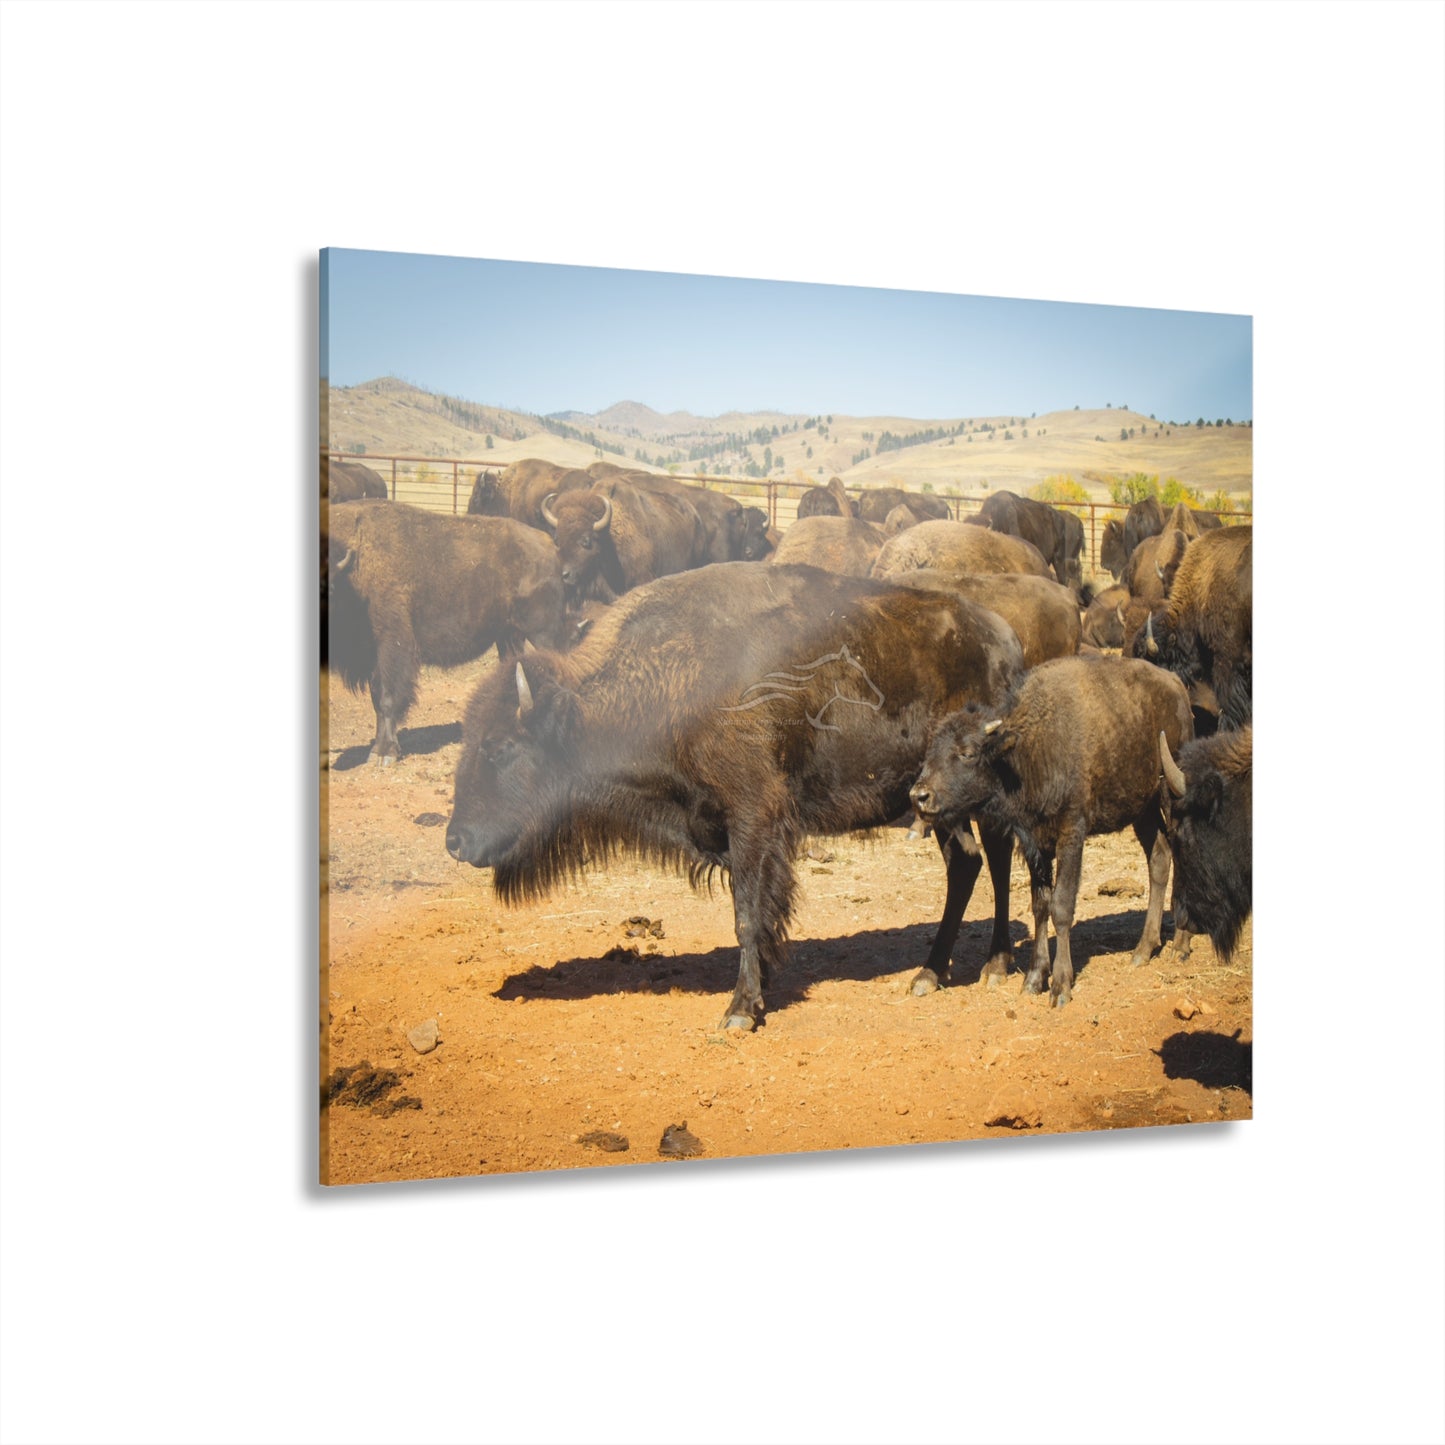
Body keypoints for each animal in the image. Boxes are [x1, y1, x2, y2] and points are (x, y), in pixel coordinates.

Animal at [325, 501, 566, 765]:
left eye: (327, 588)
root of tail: (549, 545)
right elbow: (376, 700)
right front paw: (379, 751)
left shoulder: (392, 647)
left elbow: (387, 699)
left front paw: (385, 754)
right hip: (509, 637)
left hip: (542, 634)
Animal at [446, 563, 1027, 1030]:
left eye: (500, 747)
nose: (456, 841)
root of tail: (1006, 639)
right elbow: (758, 915)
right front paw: (760, 989)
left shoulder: (754, 819)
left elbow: (747, 914)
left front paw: (741, 1010)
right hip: (939, 804)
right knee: (968, 862)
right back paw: (931, 973)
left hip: (979, 798)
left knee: (995, 859)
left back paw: (993, 967)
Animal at [909, 655, 1193, 1006]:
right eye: (929, 753)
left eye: (968, 753)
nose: (919, 796)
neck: (1030, 748)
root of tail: (1176, 685)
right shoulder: (1036, 843)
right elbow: (1040, 905)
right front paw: (1034, 978)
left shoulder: (1071, 832)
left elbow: (1062, 905)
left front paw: (1060, 986)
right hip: (1143, 809)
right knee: (1159, 858)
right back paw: (1143, 949)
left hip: (1171, 794)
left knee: (1182, 852)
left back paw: (1180, 944)